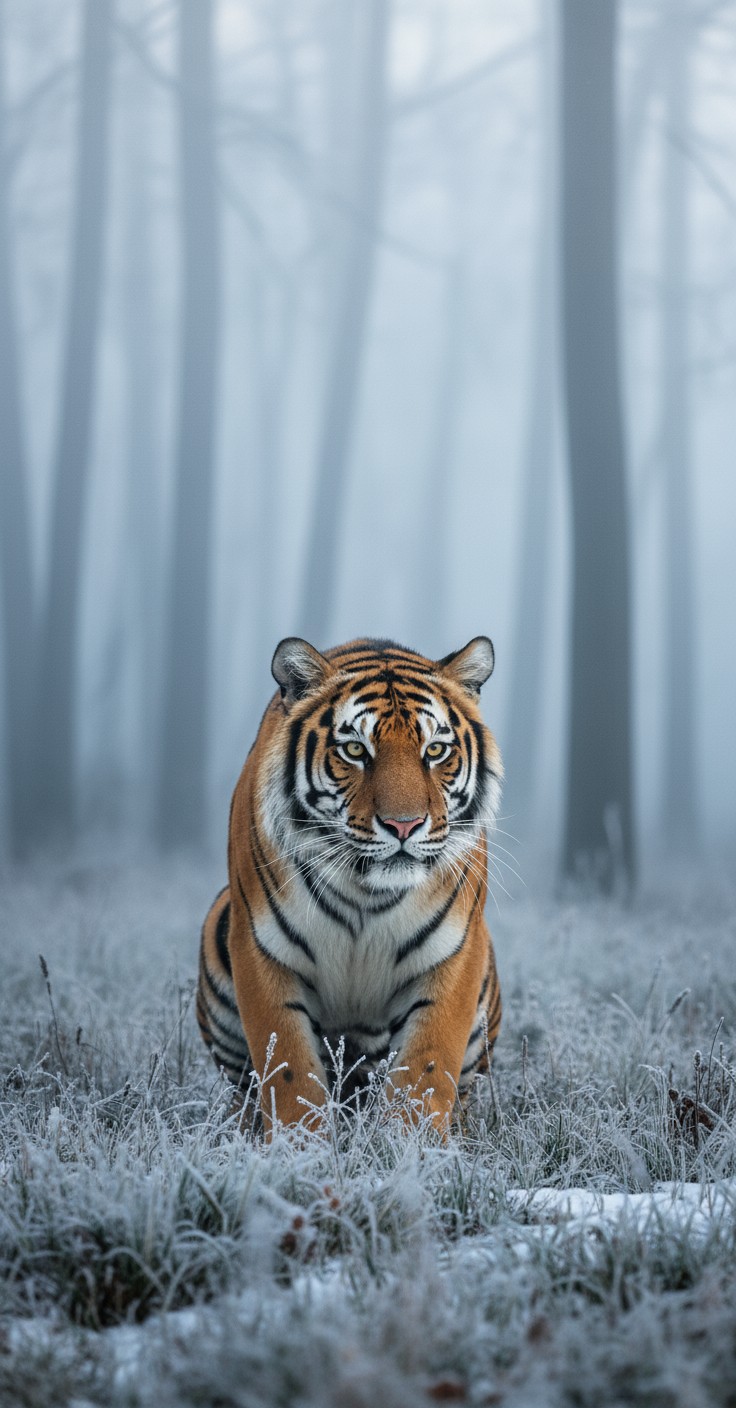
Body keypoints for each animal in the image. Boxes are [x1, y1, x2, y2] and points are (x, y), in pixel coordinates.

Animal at [197, 635, 503, 1135]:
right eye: (356, 751)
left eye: (435, 750)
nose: (404, 825)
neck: (367, 891)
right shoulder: (260, 948)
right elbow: (288, 1072)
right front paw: (297, 1148)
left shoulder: (455, 951)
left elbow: (426, 1070)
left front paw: (411, 1147)